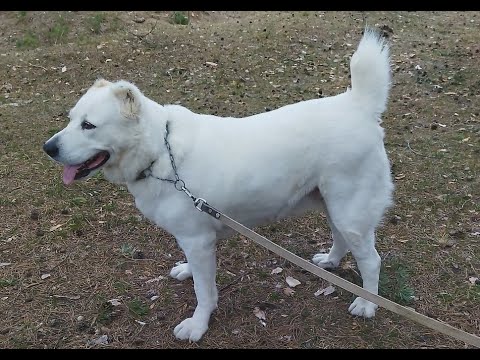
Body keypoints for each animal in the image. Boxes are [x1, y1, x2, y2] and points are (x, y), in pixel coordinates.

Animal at [42, 28, 394, 344]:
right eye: (71, 119)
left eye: (89, 126)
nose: (49, 148)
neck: (160, 152)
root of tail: (358, 105)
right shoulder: (196, 240)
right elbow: (198, 275)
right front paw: (187, 271)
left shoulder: (198, 240)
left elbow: (204, 291)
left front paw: (198, 325)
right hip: (335, 206)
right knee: (342, 240)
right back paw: (330, 262)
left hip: (350, 210)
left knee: (372, 260)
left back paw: (366, 303)